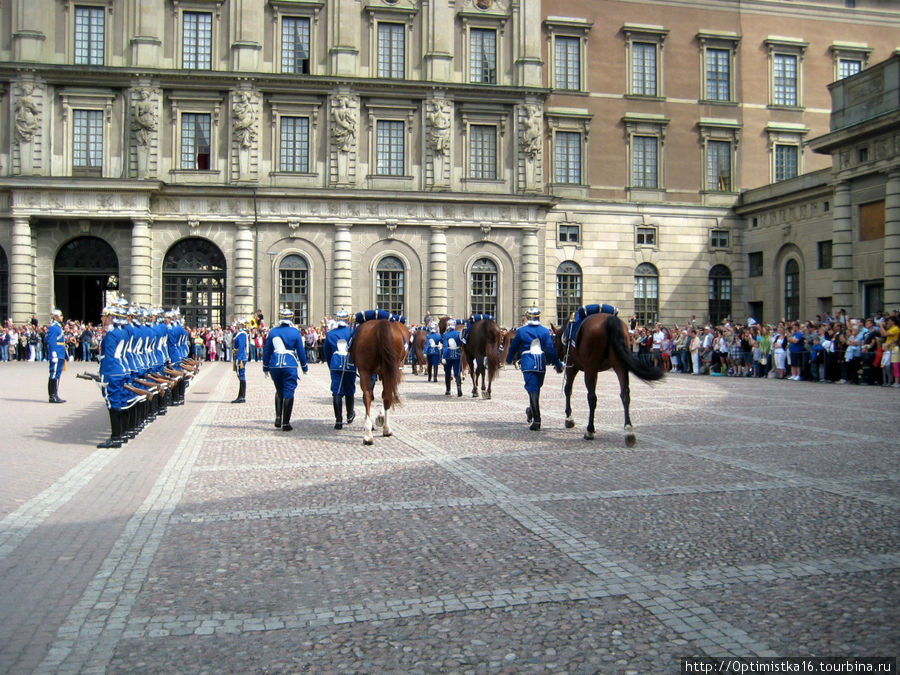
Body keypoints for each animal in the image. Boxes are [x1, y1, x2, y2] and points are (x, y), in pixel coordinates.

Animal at [552, 314, 664, 446]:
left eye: (553, 341)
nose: (557, 367)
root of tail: (610, 319)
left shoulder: (572, 367)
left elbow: (568, 390)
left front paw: (569, 418)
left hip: (591, 368)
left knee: (592, 397)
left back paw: (589, 430)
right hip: (620, 366)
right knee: (625, 395)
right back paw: (629, 431)